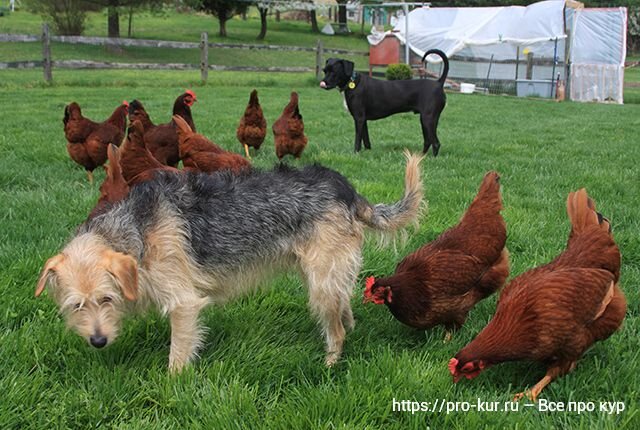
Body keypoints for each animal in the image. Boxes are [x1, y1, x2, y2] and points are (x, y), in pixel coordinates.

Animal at [37, 153, 422, 372]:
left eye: (107, 298)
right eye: (76, 306)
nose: (98, 342)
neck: (135, 231)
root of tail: (347, 189)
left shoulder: (184, 304)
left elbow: (177, 357)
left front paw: (172, 387)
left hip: (321, 285)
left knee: (336, 329)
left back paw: (330, 364)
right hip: (326, 275)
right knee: (345, 309)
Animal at [320, 49, 450, 155]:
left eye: (334, 72)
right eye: (324, 71)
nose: (323, 83)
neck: (352, 83)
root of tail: (439, 83)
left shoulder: (359, 118)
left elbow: (358, 140)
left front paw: (355, 153)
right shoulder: (363, 120)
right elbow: (366, 140)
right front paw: (367, 153)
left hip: (428, 119)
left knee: (435, 143)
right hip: (427, 120)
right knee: (428, 141)